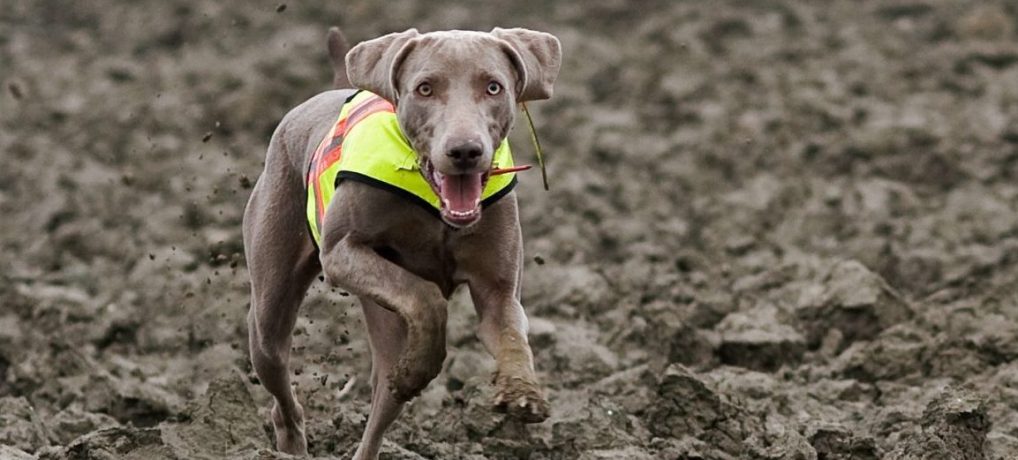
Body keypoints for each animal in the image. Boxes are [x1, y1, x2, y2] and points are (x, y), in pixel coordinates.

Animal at [244, 26, 566, 457]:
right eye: (425, 89)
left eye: (493, 87)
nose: (465, 151)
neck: (438, 210)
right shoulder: (342, 252)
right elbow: (426, 296)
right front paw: (421, 366)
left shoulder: (498, 291)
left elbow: (511, 332)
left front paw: (522, 392)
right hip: (271, 307)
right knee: (279, 376)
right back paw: (294, 442)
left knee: (382, 403)